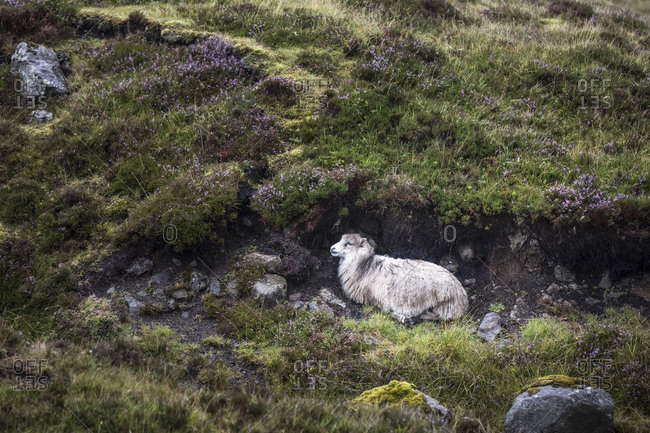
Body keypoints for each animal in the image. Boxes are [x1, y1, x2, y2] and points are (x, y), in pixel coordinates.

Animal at [330, 233, 468, 322]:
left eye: (349, 243)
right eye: (341, 239)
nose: (332, 248)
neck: (365, 268)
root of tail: (463, 297)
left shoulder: (380, 299)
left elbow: (386, 311)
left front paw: (402, 317)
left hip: (445, 305)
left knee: (442, 317)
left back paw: (423, 315)